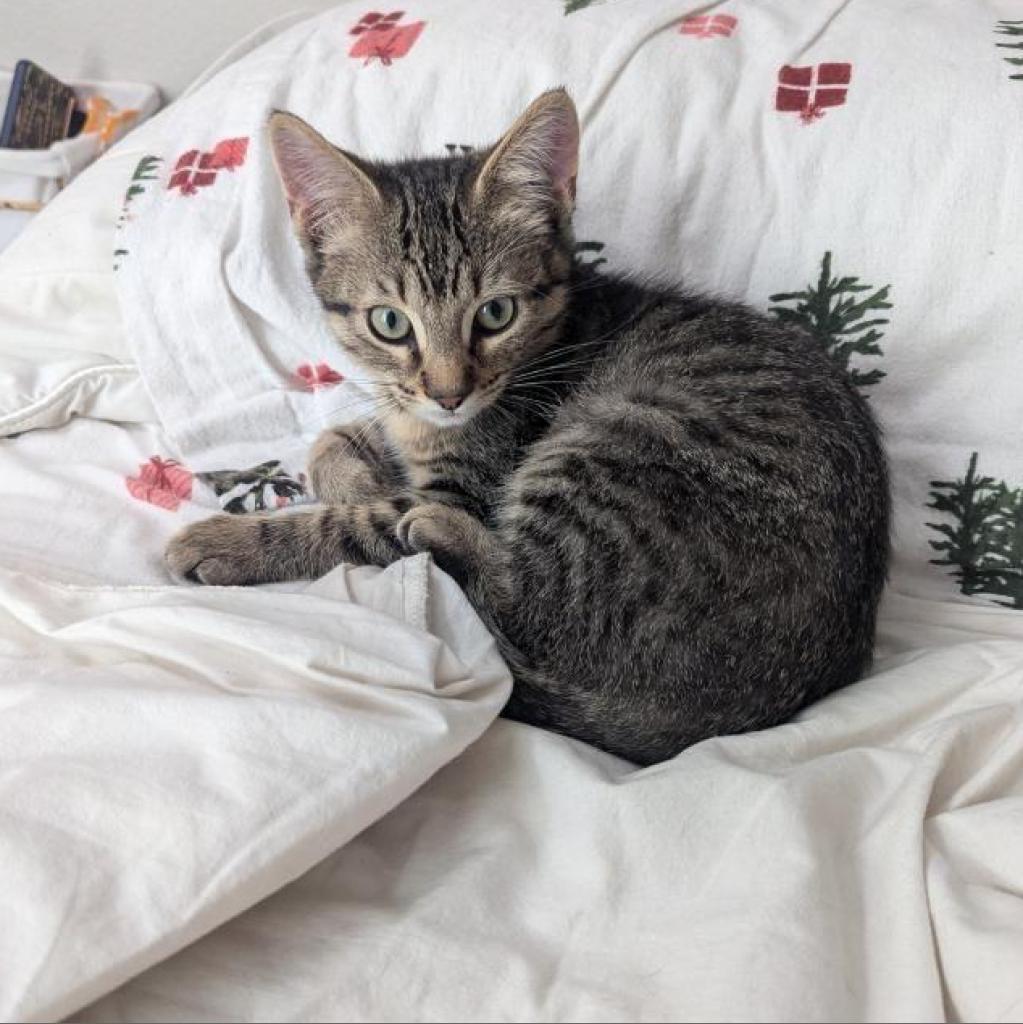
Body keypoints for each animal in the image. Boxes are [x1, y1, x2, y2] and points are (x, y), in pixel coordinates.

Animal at [165, 92, 888, 765]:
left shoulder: (469, 482)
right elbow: (336, 439)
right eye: (390, 323)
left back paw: (441, 534)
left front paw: (229, 539)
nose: (450, 392)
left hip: (616, 442)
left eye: (496, 313)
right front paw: (355, 471)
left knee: (529, 604)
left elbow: (355, 525)